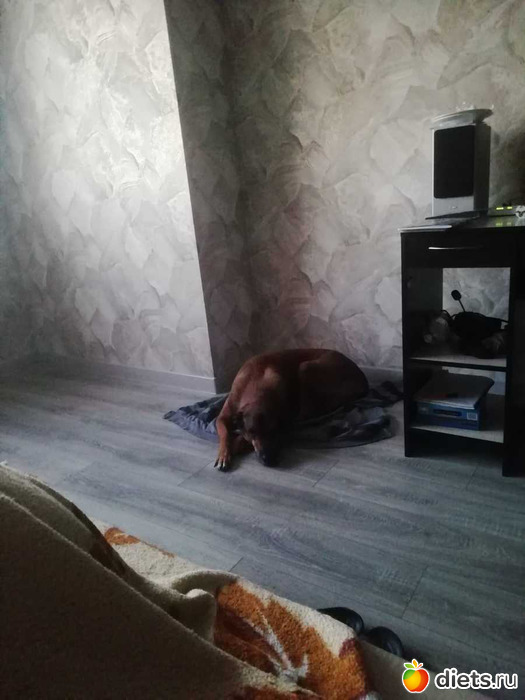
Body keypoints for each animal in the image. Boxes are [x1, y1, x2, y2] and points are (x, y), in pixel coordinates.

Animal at [214, 348, 369, 471]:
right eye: (253, 432)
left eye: (274, 431)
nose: (269, 460)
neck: (256, 386)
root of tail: (363, 380)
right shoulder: (224, 415)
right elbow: (224, 432)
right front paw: (223, 453)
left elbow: (240, 438)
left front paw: (234, 446)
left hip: (306, 368)